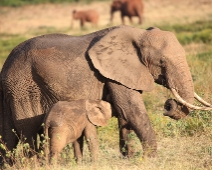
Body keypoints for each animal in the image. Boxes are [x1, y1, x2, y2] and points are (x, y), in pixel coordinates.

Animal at [0, 24, 212, 161]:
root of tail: (4, 68)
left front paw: (129, 158)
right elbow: (131, 110)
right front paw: (150, 159)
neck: (139, 34)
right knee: (26, 131)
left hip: (11, 92)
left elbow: (124, 114)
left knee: (8, 137)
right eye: (162, 62)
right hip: (23, 90)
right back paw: (32, 163)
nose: (168, 105)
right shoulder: (115, 73)